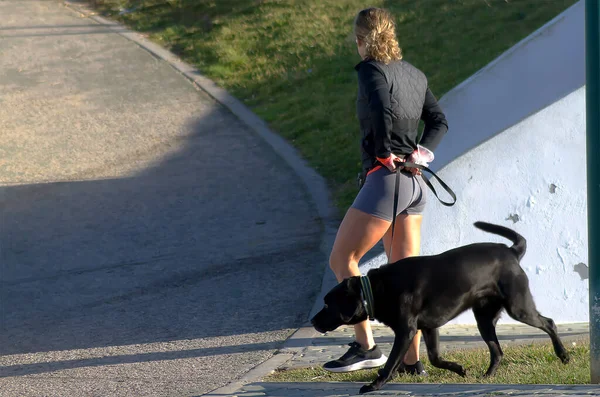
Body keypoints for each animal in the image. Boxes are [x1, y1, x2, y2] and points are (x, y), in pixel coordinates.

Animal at [312, 221, 568, 392]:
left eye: (327, 304)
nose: (313, 321)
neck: (374, 290)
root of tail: (511, 251)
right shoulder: (429, 327)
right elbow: (434, 358)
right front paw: (459, 369)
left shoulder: (406, 331)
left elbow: (391, 362)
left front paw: (374, 385)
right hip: (484, 319)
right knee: (497, 351)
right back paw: (486, 376)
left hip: (518, 307)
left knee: (549, 323)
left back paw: (563, 355)